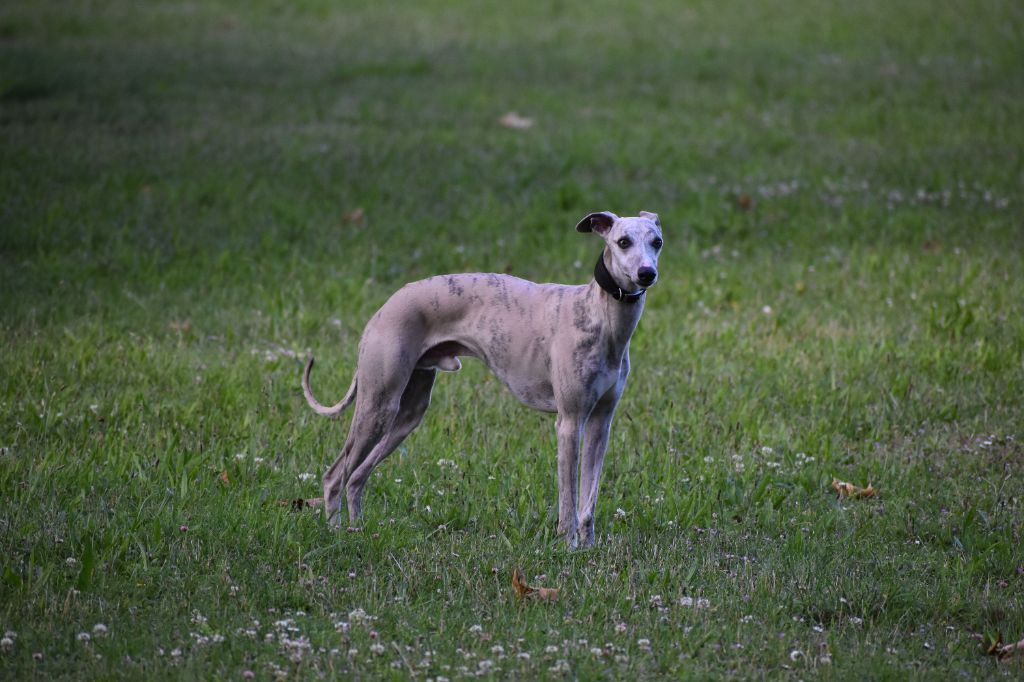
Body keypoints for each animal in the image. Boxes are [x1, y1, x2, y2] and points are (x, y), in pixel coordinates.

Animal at [301, 209, 663, 544]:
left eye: (657, 242)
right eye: (623, 242)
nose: (647, 274)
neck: (600, 314)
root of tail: (384, 307)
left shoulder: (601, 423)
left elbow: (589, 499)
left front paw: (587, 549)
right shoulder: (570, 423)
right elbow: (569, 502)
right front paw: (567, 547)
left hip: (407, 414)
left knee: (356, 476)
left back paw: (357, 529)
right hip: (378, 404)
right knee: (335, 475)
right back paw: (336, 533)